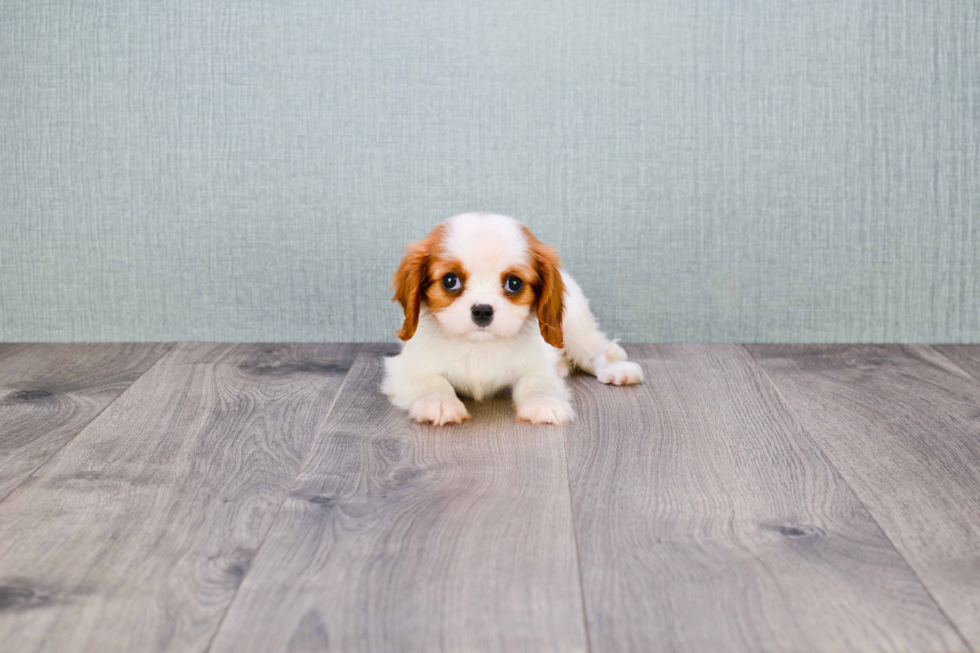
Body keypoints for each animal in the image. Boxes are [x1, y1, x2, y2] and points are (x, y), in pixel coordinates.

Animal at [382, 213, 644, 422]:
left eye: (514, 283)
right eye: (450, 280)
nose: (483, 310)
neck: (479, 346)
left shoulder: (537, 364)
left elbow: (536, 381)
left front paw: (543, 403)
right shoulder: (407, 366)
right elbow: (431, 381)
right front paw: (439, 403)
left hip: (573, 327)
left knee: (593, 350)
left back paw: (616, 369)